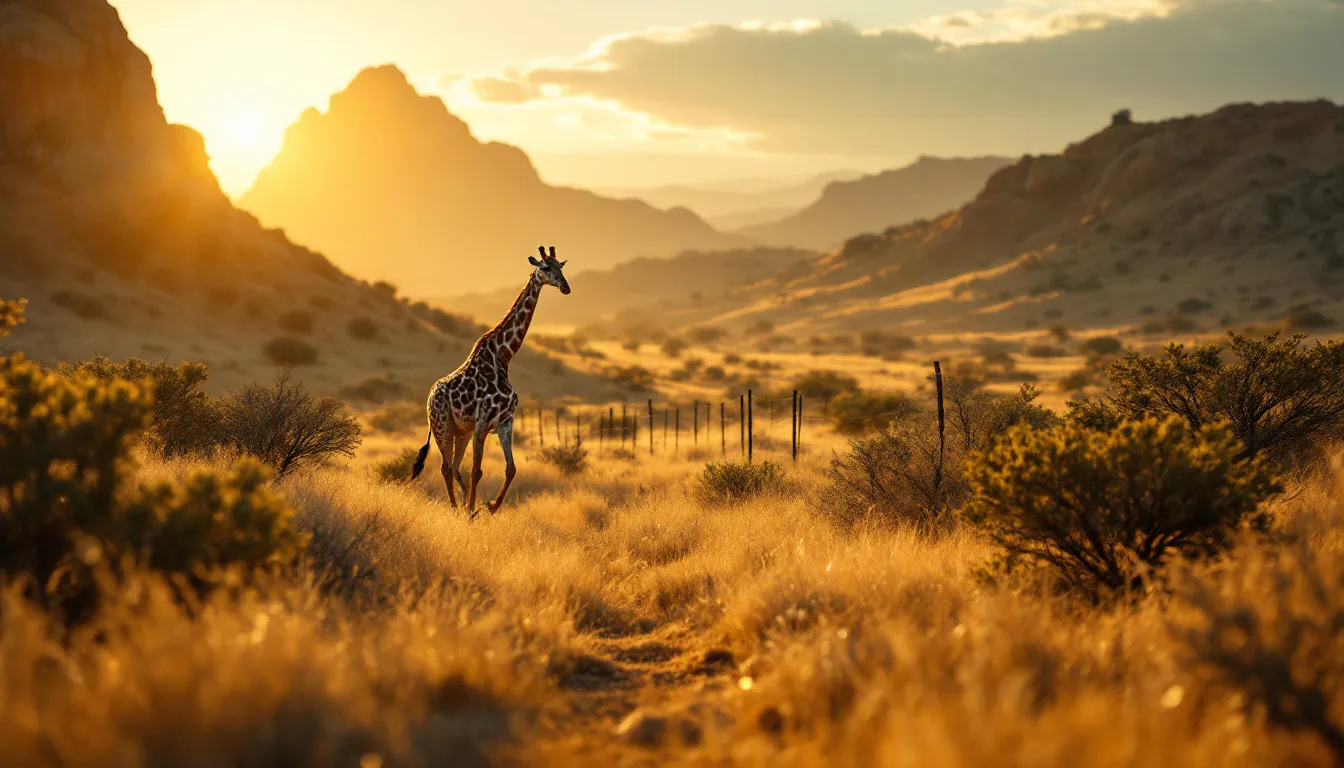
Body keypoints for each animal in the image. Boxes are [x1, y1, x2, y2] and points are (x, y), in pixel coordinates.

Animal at [410, 245, 571, 516]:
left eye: (561, 266)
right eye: (545, 267)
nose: (565, 287)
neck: (503, 356)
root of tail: (429, 398)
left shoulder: (505, 421)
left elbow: (511, 468)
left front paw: (489, 506)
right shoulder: (483, 420)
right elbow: (477, 470)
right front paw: (473, 511)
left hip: (461, 432)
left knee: (454, 467)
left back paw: (464, 505)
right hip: (442, 426)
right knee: (446, 467)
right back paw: (456, 508)